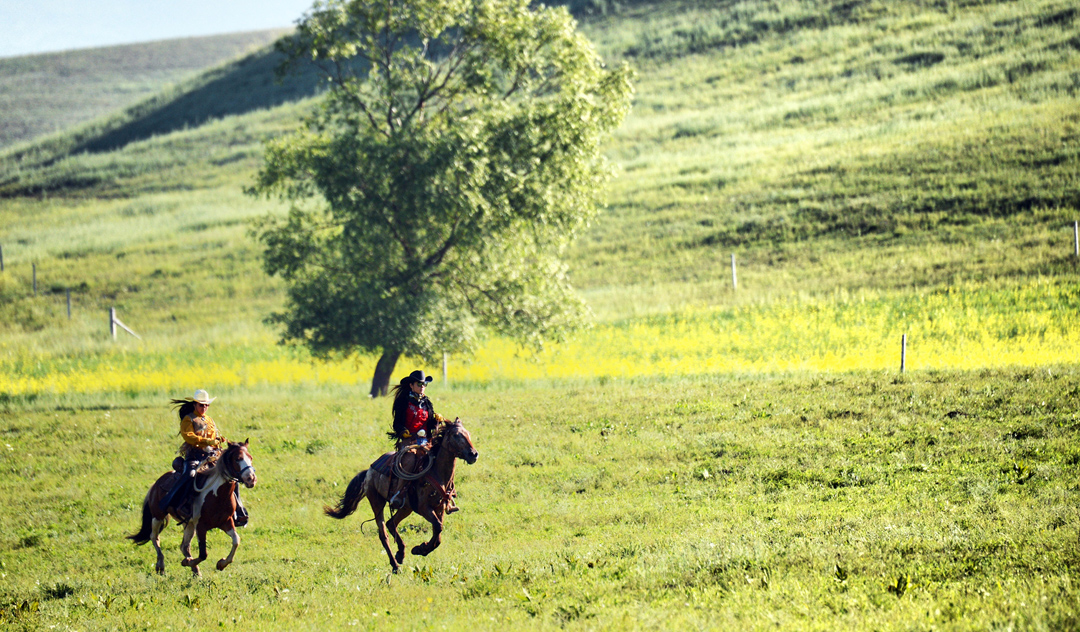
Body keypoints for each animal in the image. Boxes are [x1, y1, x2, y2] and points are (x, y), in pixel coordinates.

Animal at [127, 440, 255, 574]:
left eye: (250, 458)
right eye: (237, 459)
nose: (251, 478)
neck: (217, 495)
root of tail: (156, 484)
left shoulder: (226, 522)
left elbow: (236, 541)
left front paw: (221, 563)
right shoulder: (201, 526)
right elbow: (203, 554)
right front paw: (188, 562)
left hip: (188, 524)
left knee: (184, 546)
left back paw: (195, 570)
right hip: (158, 516)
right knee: (154, 537)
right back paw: (161, 565)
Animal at [324, 419, 477, 570]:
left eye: (469, 434)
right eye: (456, 435)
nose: (473, 454)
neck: (437, 473)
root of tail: (369, 471)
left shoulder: (439, 508)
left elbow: (438, 533)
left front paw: (420, 549)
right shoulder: (423, 508)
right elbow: (438, 527)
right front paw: (421, 549)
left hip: (406, 508)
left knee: (391, 524)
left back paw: (401, 553)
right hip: (377, 502)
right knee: (383, 533)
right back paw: (395, 564)